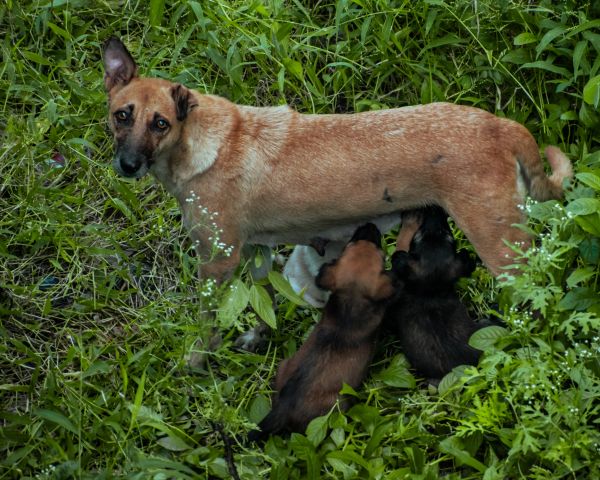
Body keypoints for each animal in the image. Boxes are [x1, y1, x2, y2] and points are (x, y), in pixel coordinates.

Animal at [102, 37, 572, 282]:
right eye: (122, 115)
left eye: (160, 123)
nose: (128, 165)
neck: (195, 146)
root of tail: (501, 125)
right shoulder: (253, 254)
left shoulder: (220, 259)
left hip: (504, 251)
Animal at [251, 223, 396, 440]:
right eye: (381, 254)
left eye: (348, 247)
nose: (368, 225)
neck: (350, 301)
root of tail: (282, 408)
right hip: (337, 405)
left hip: (284, 365)